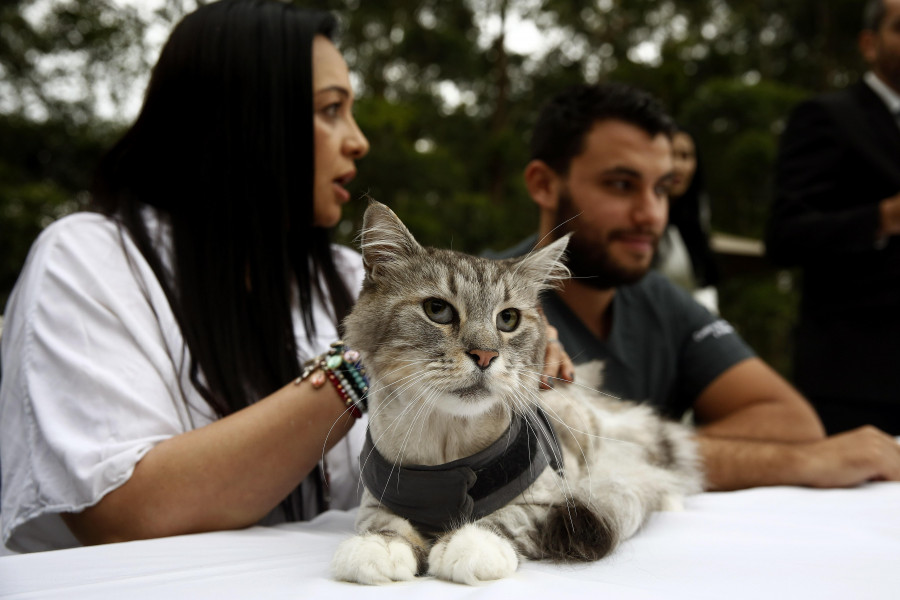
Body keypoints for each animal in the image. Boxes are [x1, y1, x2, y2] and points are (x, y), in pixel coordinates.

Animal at [330, 202, 704, 584]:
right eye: (438, 310)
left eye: (508, 319)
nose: (485, 355)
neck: (445, 460)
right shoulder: (375, 502)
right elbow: (385, 524)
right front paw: (380, 547)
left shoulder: (544, 499)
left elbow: (500, 520)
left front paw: (469, 545)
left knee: (649, 469)